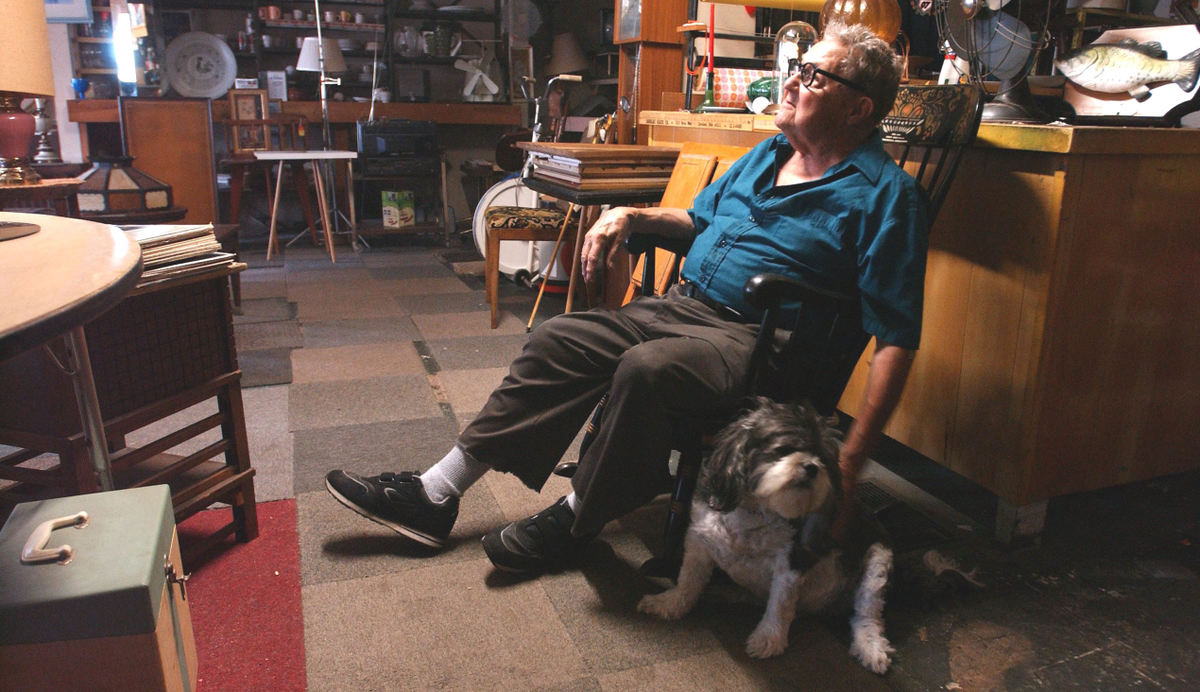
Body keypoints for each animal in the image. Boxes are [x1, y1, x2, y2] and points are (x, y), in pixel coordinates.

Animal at [643, 395, 897, 671]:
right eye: (783, 449)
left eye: (822, 458)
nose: (811, 467)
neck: (757, 510)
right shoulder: (699, 541)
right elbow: (688, 581)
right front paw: (670, 603)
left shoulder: (790, 564)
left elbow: (780, 605)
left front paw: (768, 638)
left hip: (876, 564)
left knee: (866, 614)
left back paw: (870, 647)